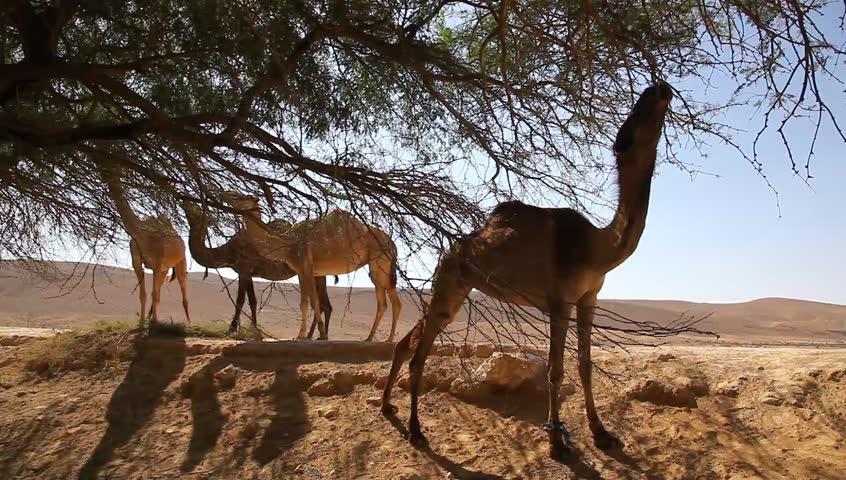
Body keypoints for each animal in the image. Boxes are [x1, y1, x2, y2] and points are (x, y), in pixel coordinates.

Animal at [98, 165, 191, 326]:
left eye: (114, 170)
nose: (104, 173)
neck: (142, 234)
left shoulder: (157, 264)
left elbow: (154, 294)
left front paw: (154, 322)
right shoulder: (137, 262)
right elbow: (144, 294)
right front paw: (141, 322)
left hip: (180, 262)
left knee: (182, 289)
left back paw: (189, 322)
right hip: (165, 269)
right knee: (160, 291)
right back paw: (149, 317)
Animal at [182, 201, 334, 336]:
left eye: (193, 209)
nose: (184, 201)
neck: (228, 251)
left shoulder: (244, 268)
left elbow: (240, 300)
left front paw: (232, 328)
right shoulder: (248, 273)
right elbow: (252, 301)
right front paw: (254, 328)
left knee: (322, 304)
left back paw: (312, 336)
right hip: (318, 273)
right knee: (325, 304)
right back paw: (316, 335)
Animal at [222, 197, 400, 344]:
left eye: (240, 197)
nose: (226, 197)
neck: (287, 244)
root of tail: (392, 243)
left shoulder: (306, 267)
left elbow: (313, 302)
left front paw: (316, 334)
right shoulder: (302, 272)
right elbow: (306, 303)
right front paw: (304, 335)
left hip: (381, 263)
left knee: (394, 301)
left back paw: (389, 339)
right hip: (376, 268)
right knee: (383, 302)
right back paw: (370, 338)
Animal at [380, 83, 672, 462]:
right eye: (637, 112)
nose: (660, 89)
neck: (598, 247)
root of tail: (451, 250)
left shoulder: (589, 297)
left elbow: (585, 365)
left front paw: (602, 433)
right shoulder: (559, 300)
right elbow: (555, 370)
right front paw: (557, 442)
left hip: (455, 287)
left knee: (408, 343)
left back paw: (387, 406)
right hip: (449, 279)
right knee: (419, 354)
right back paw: (416, 430)